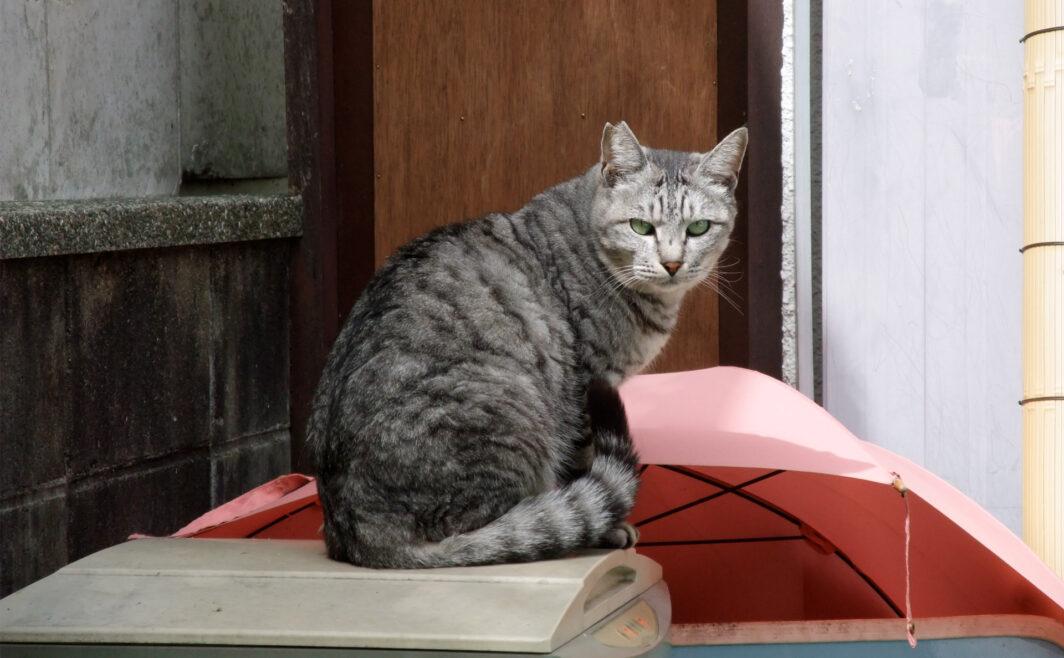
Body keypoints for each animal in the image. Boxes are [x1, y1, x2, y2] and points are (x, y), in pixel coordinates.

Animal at [308, 122, 749, 570]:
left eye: (699, 228)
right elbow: (584, 463)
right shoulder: (586, 385)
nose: (673, 263)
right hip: (508, 409)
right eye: (641, 227)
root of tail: (360, 536)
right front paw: (607, 531)